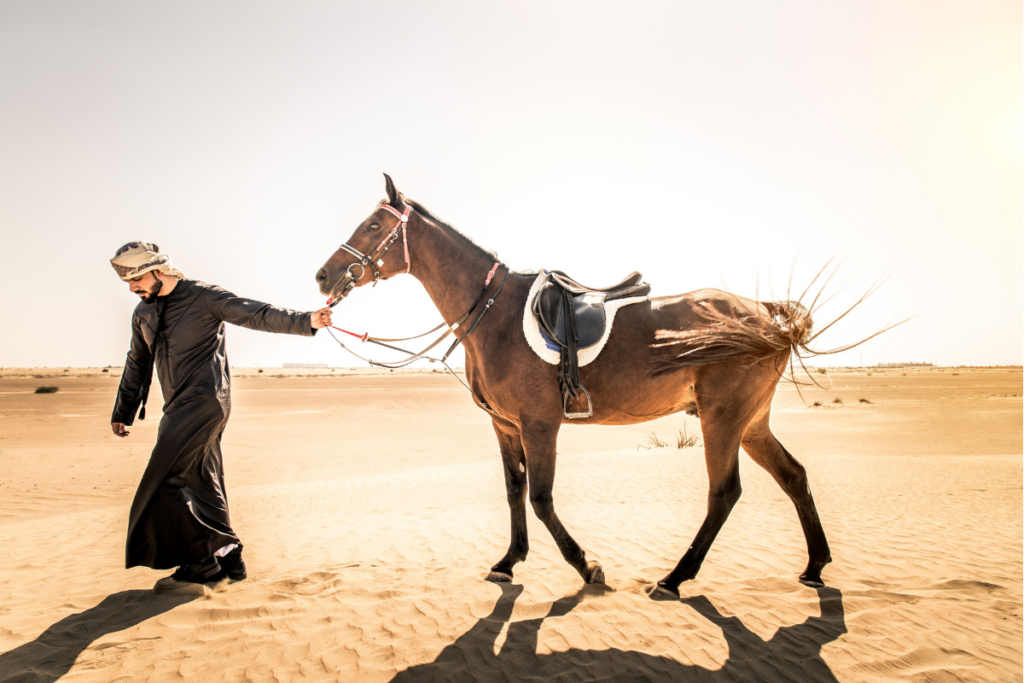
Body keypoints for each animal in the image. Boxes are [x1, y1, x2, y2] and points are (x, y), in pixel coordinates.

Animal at [315, 174, 840, 600]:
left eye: (374, 227)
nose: (324, 275)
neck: (495, 314)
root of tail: (764, 313)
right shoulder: (506, 427)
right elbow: (514, 491)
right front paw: (509, 562)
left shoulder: (539, 425)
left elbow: (541, 498)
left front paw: (587, 566)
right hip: (750, 422)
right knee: (793, 476)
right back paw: (814, 565)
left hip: (723, 419)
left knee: (723, 493)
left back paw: (674, 578)